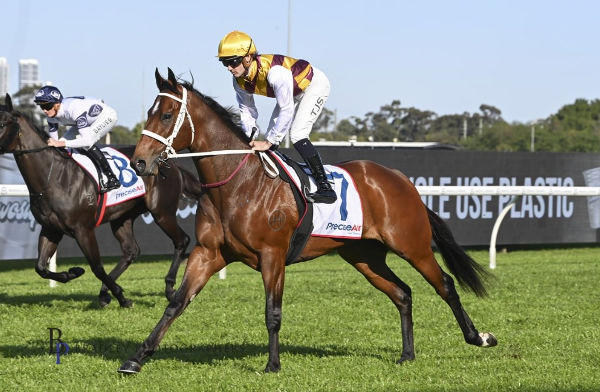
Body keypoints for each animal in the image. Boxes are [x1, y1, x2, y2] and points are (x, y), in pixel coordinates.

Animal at [0, 94, 204, 306]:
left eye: (3, 122)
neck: (52, 177)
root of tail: (170, 164)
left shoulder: (83, 230)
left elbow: (97, 267)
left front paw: (121, 296)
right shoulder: (51, 228)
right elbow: (40, 267)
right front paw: (73, 273)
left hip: (162, 212)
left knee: (182, 241)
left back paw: (170, 288)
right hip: (122, 217)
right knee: (131, 251)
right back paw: (104, 293)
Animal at [118, 68, 496, 374]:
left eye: (167, 115)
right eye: (150, 113)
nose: (138, 162)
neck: (239, 185)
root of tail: (400, 178)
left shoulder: (272, 255)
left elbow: (272, 312)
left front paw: (272, 365)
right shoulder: (208, 253)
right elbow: (176, 303)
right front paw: (137, 357)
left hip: (411, 244)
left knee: (445, 284)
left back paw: (479, 337)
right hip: (364, 256)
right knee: (403, 293)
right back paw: (407, 355)